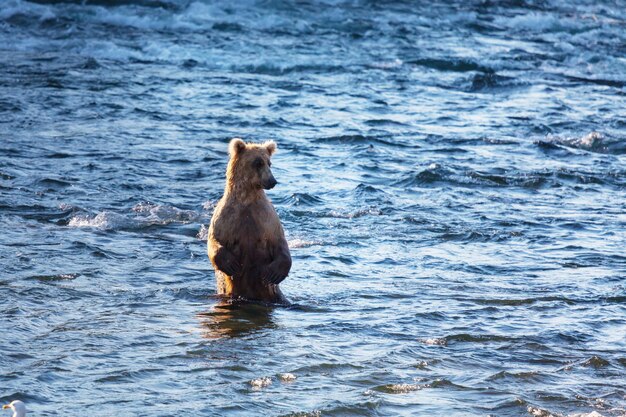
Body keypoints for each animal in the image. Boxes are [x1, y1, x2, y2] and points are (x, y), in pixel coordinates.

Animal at [207, 137, 290, 302]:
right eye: (258, 162)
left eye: (269, 162)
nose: (272, 181)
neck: (247, 199)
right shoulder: (227, 217)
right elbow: (214, 239)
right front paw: (231, 264)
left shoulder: (266, 219)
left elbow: (280, 242)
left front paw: (273, 274)